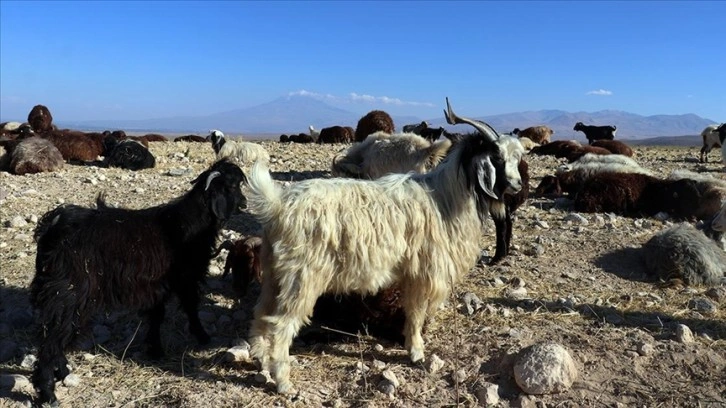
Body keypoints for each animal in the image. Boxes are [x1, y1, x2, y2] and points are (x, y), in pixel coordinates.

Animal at [29, 159, 247, 404]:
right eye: (232, 186)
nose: (245, 204)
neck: (188, 222)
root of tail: (52, 227)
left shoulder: (156, 287)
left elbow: (157, 316)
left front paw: (155, 350)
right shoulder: (186, 279)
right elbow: (191, 307)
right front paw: (202, 336)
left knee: (61, 332)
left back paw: (63, 372)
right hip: (67, 294)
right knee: (51, 340)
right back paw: (48, 392)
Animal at [247, 97, 528, 394]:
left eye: (517, 158)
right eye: (497, 158)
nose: (517, 184)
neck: (445, 198)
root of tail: (278, 205)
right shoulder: (423, 272)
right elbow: (415, 313)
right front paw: (416, 352)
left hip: (274, 274)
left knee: (261, 312)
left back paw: (261, 360)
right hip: (303, 278)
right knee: (280, 325)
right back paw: (283, 381)